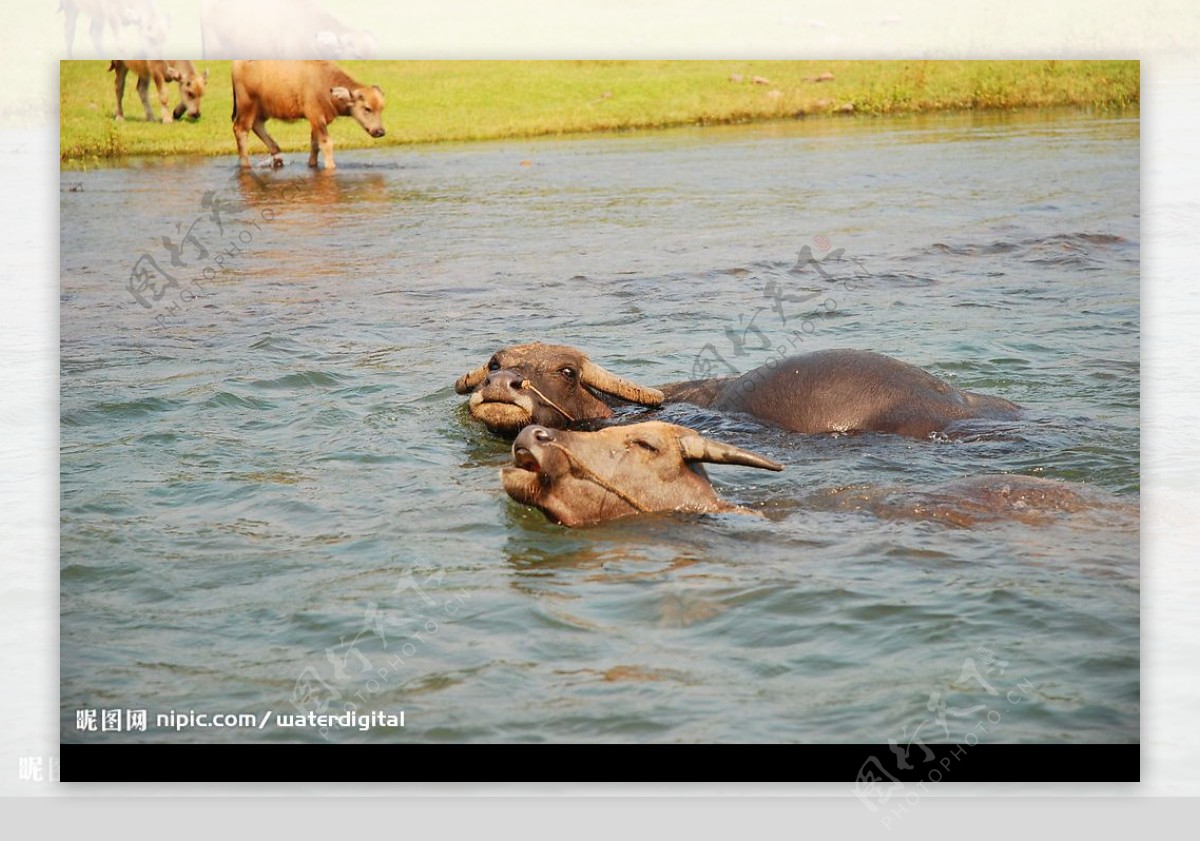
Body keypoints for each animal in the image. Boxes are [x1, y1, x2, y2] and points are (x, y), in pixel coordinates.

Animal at [231, 59, 386, 171]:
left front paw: (312, 165)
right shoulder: (315, 115)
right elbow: (326, 143)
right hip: (247, 105)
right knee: (241, 129)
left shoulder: (318, 120)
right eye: (367, 108)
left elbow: (315, 144)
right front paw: (331, 166)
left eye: (382, 108)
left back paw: (277, 155)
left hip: (263, 108)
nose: (380, 131)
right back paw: (246, 165)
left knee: (257, 125)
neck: (325, 83)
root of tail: (237, 63)